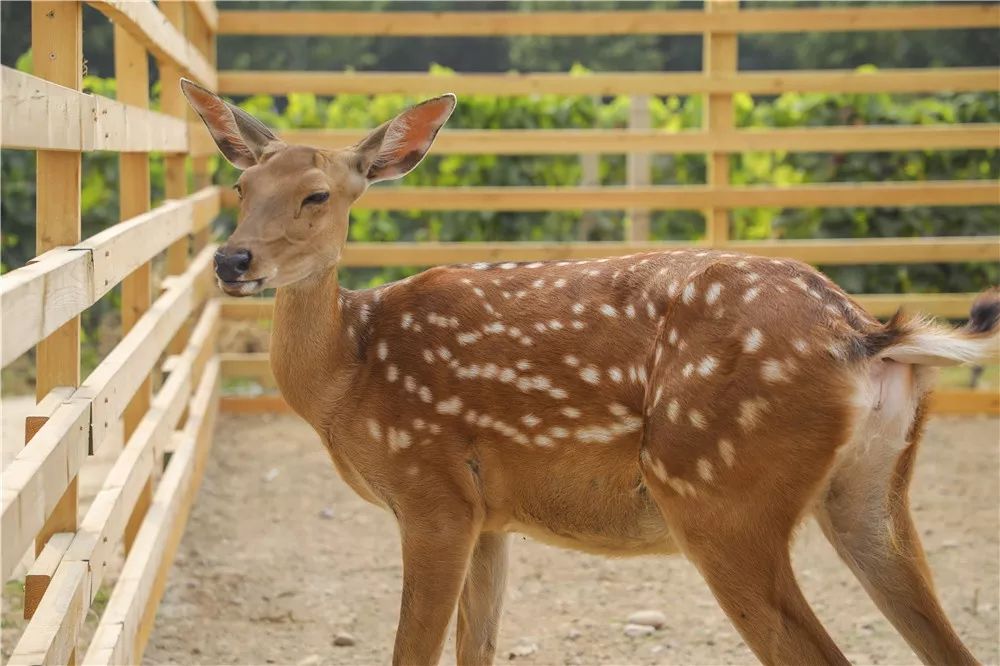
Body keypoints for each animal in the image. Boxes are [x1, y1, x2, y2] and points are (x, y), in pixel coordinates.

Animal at [182, 79, 1000, 664]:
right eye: (240, 189)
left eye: (318, 195)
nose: (232, 260)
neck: (347, 376)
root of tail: (866, 334)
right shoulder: (489, 515)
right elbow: (478, 647)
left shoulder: (430, 492)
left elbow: (413, 651)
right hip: (872, 491)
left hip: (720, 494)